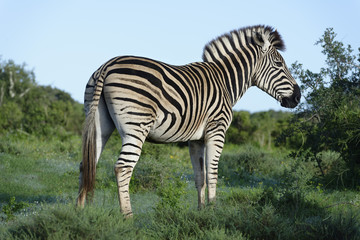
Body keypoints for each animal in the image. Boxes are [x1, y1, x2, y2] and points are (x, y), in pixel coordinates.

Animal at [76, 25, 300, 217]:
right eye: (279, 64)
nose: (298, 97)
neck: (225, 82)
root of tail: (107, 66)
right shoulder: (217, 130)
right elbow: (212, 174)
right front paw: (214, 212)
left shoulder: (196, 139)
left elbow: (200, 177)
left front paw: (201, 213)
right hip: (136, 126)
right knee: (122, 168)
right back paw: (128, 218)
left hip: (100, 124)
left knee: (87, 163)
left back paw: (80, 212)